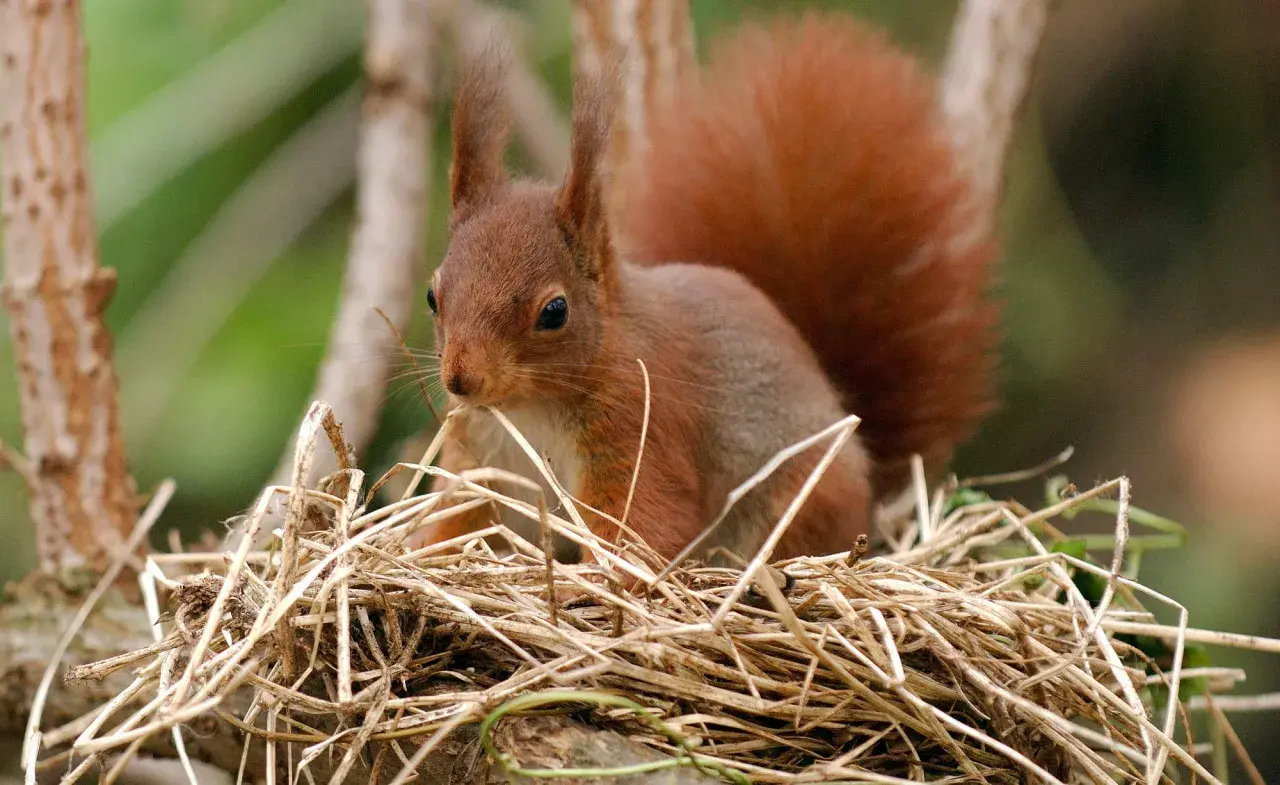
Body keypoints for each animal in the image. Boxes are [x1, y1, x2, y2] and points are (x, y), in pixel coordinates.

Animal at [412, 12, 998, 566]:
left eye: (554, 312)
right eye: (433, 296)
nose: (462, 379)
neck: (527, 408)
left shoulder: (641, 426)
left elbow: (643, 522)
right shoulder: (482, 460)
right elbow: (461, 517)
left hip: (801, 499)